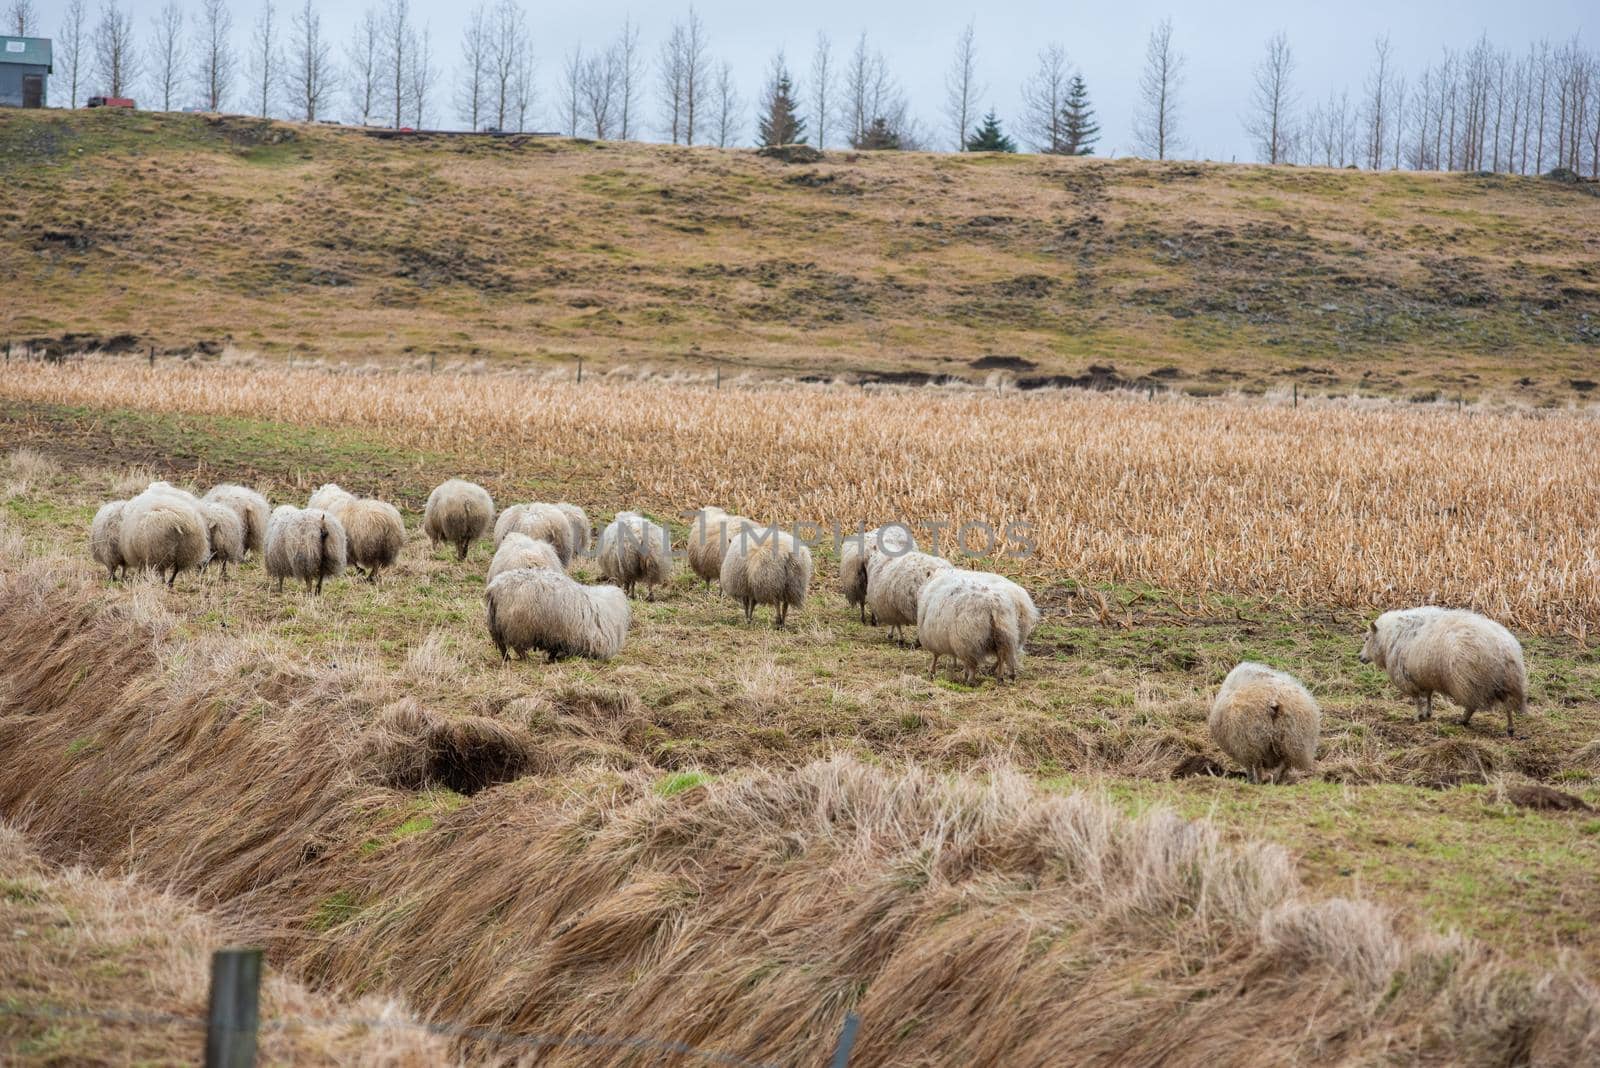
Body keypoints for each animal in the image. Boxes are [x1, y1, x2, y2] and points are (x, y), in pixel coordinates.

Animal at [486, 565, 630, 658]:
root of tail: (494, 588)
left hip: (497, 626)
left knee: (503, 647)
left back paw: (507, 659)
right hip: (518, 627)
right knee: (517, 647)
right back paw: (525, 658)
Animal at [1363, 604, 1523, 738]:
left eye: (1366, 638)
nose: (1360, 657)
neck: (1388, 638)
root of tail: (1505, 648)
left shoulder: (1407, 678)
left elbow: (1416, 699)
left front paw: (1418, 716)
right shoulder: (1425, 676)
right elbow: (1428, 695)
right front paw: (1427, 713)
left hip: (1469, 681)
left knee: (1471, 705)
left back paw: (1462, 720)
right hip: (1504, 683)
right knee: (1508, 705)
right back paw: (1510, 728)